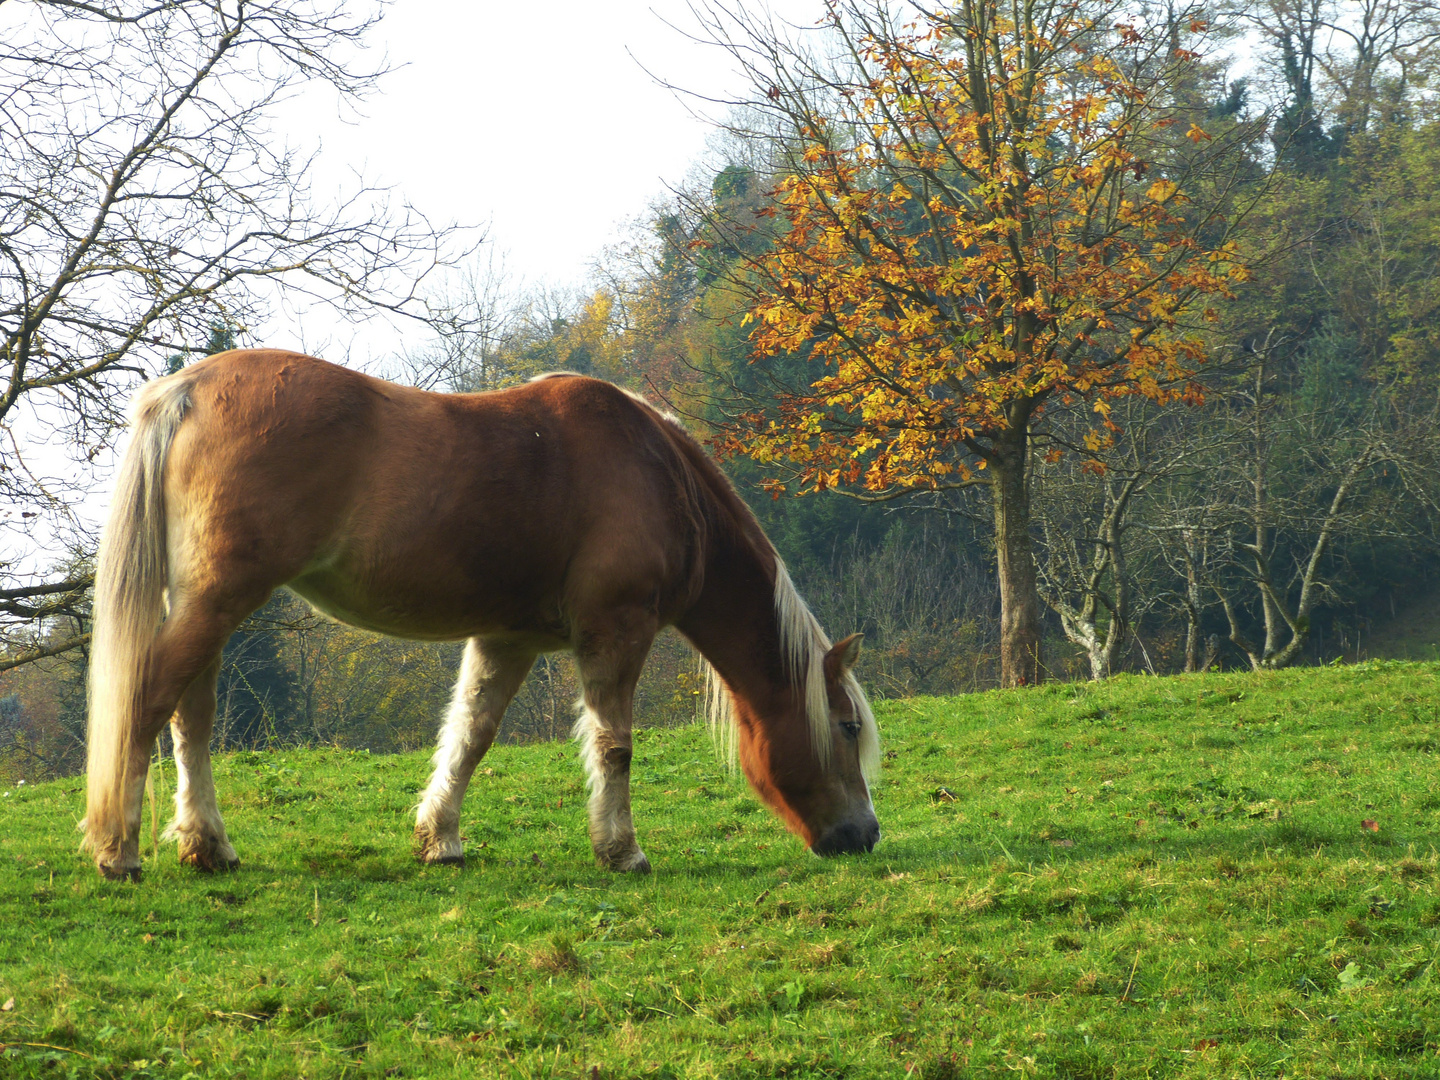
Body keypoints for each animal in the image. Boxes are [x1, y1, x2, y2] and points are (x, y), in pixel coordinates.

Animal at [84, 351, 881, 881]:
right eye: (845, 728)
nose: (865, 833)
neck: (657, 471)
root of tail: (185, 391)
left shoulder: (507, 639)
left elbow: (470, 735)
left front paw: (440, 838)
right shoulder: (615, 631)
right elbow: (614, 745)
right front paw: (621, 849)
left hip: (206, 607)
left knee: (190, 717)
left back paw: (207, 845)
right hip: (218, 601)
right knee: (149, 702)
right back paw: (119, 850)